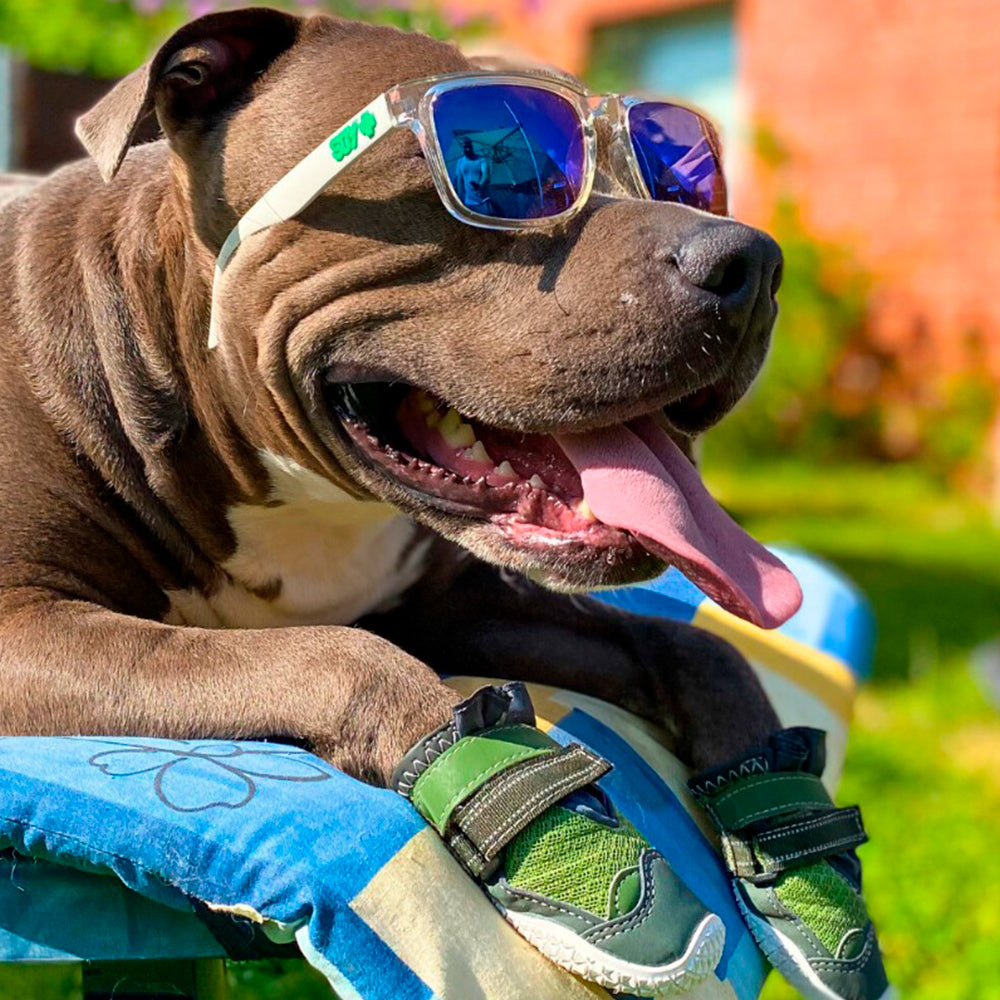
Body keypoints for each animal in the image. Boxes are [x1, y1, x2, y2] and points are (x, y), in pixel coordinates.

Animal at [0, 9, 796, 788]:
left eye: (680, 178)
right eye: (505, 175)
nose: (753, 261)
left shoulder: (456, 606)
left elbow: (687, 647)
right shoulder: (24, 626)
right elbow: (332, 656)